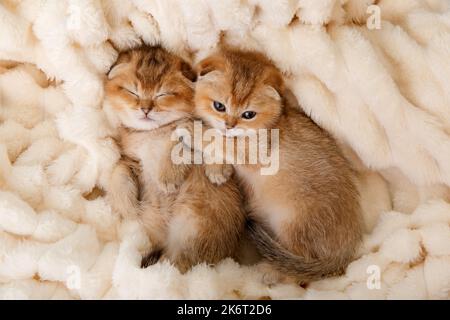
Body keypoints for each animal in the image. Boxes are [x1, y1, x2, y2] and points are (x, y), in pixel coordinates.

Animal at [103, 46, 246, 272]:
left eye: (163, 94)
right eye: (132, 92)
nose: (145, 109)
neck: (151, 133)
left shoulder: (192, 131)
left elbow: (179, 146)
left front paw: (169, 178)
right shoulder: (132, 160)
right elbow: (118, 170)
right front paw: (128, 206)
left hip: (192, 229)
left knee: (180, 262)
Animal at [193, 47, 362, 282]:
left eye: (248, 114)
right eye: (219, 106)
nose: (229, 125)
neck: (269, 125)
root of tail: (344, 253)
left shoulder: (256, 153)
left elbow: (219, 140)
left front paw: (190, 131)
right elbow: (220, 141)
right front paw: (217, 169)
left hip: (292, 223)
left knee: (300, 272)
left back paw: (270, 271)